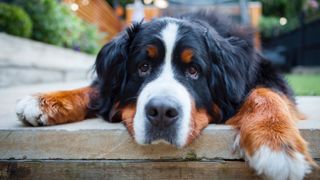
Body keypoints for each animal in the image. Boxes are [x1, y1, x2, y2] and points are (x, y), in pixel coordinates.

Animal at [15, 11, 316, 179]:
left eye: (194, 71)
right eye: (143, 67)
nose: (161, 112)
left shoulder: (265, 74)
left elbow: (266, 93)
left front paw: (276, 144)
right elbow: (95, 89)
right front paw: (45, 100)